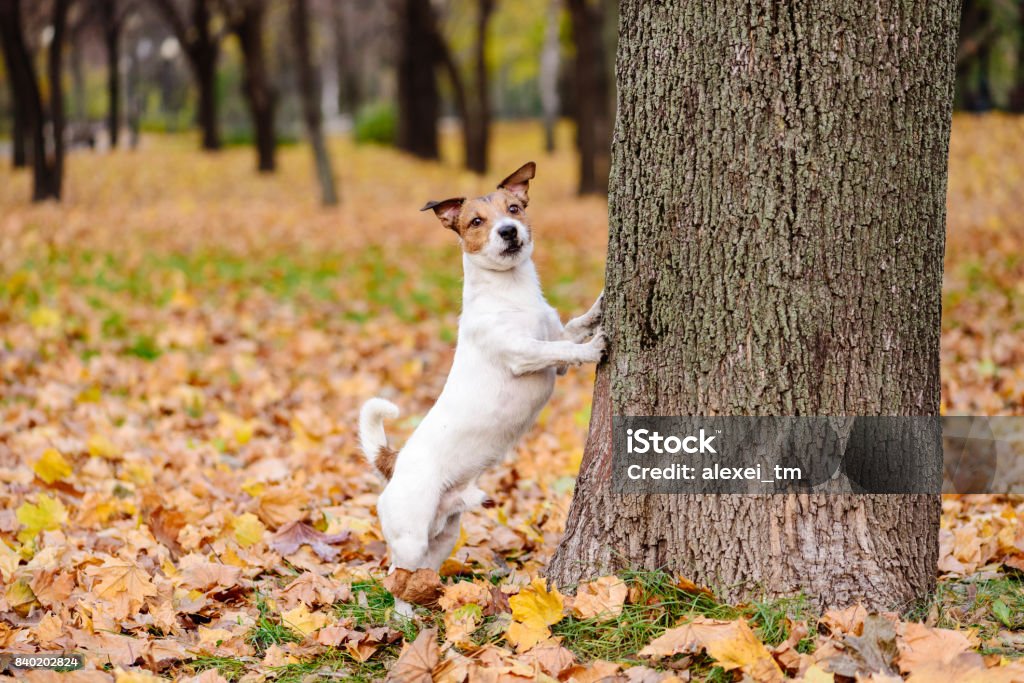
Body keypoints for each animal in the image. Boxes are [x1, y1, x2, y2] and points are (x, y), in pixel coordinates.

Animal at [358, 161, 602, 598]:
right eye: (476, 221)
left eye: (514, 209)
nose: (508, 231)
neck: (511, 292)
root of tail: (395, 463)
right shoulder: (524, 354)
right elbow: (562, 350)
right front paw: (594, 349)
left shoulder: (553, 336)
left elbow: (572, 329)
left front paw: (599, 308)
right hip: (411, 537)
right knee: (396, 580)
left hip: (444, 535)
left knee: (423, 571)